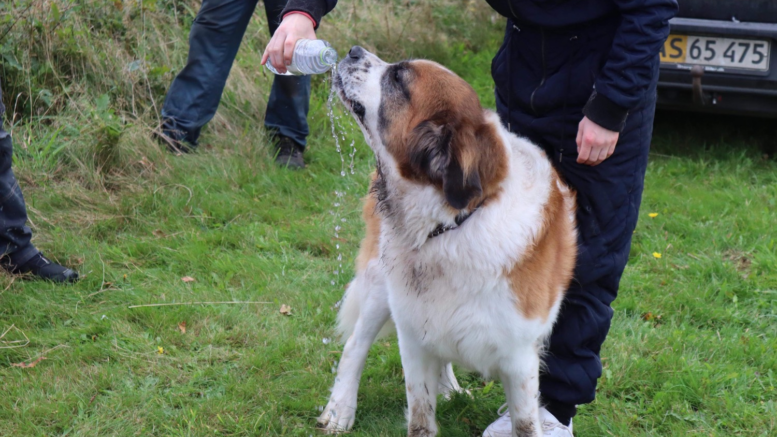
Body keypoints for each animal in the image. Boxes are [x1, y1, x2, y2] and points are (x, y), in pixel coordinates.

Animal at [318, 46, 580, 434]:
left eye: (398, 78)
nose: (353, 51)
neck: (451, 224)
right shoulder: (411, 338)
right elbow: (420, 416)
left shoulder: (519, 359)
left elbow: (524, 423)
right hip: (381, 284)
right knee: (355, 344)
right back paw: (340, 409)